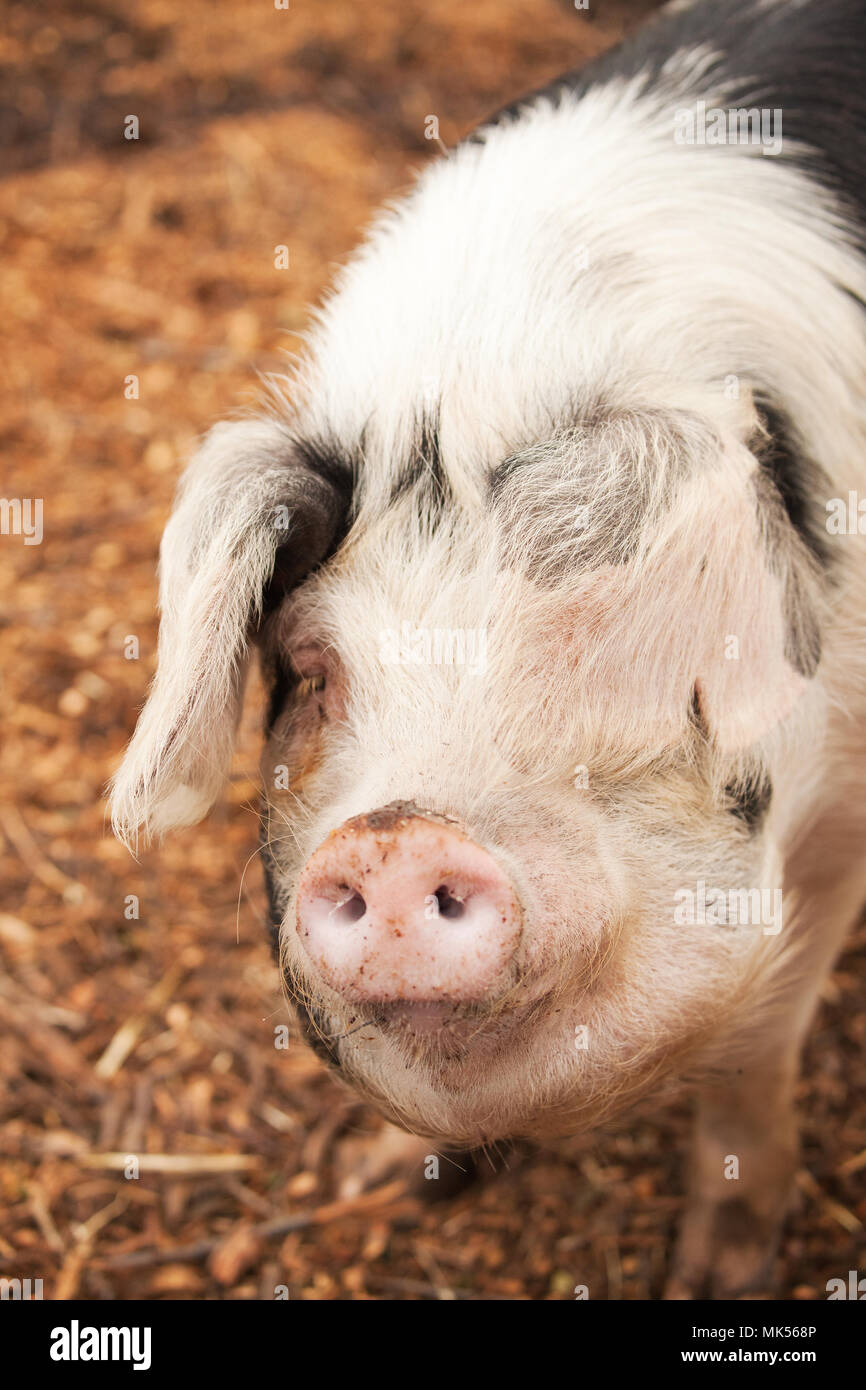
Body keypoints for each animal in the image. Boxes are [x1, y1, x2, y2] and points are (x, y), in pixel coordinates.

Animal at [111, 0, 866, 1301]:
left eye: (621, 645)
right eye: (314, 671)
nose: (393, 833)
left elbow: (757, 1049)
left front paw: (714, 1278)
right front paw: (370, 1178)